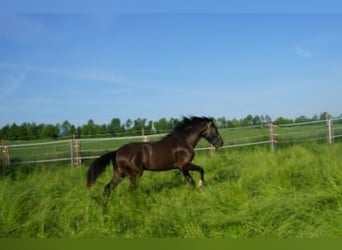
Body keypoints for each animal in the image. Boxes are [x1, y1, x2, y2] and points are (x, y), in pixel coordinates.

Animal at [87, 116, 223, 197]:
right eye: (215, 130)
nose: (221, 143)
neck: (184, 141)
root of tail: (116, 152)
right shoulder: (184, 164)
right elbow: (201, 170)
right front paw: (200, 185)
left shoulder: (182, 168)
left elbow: (190, 180)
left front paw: (196, 189)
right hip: (135, 173)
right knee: (131, 189)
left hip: (120, 173)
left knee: (108, 188)